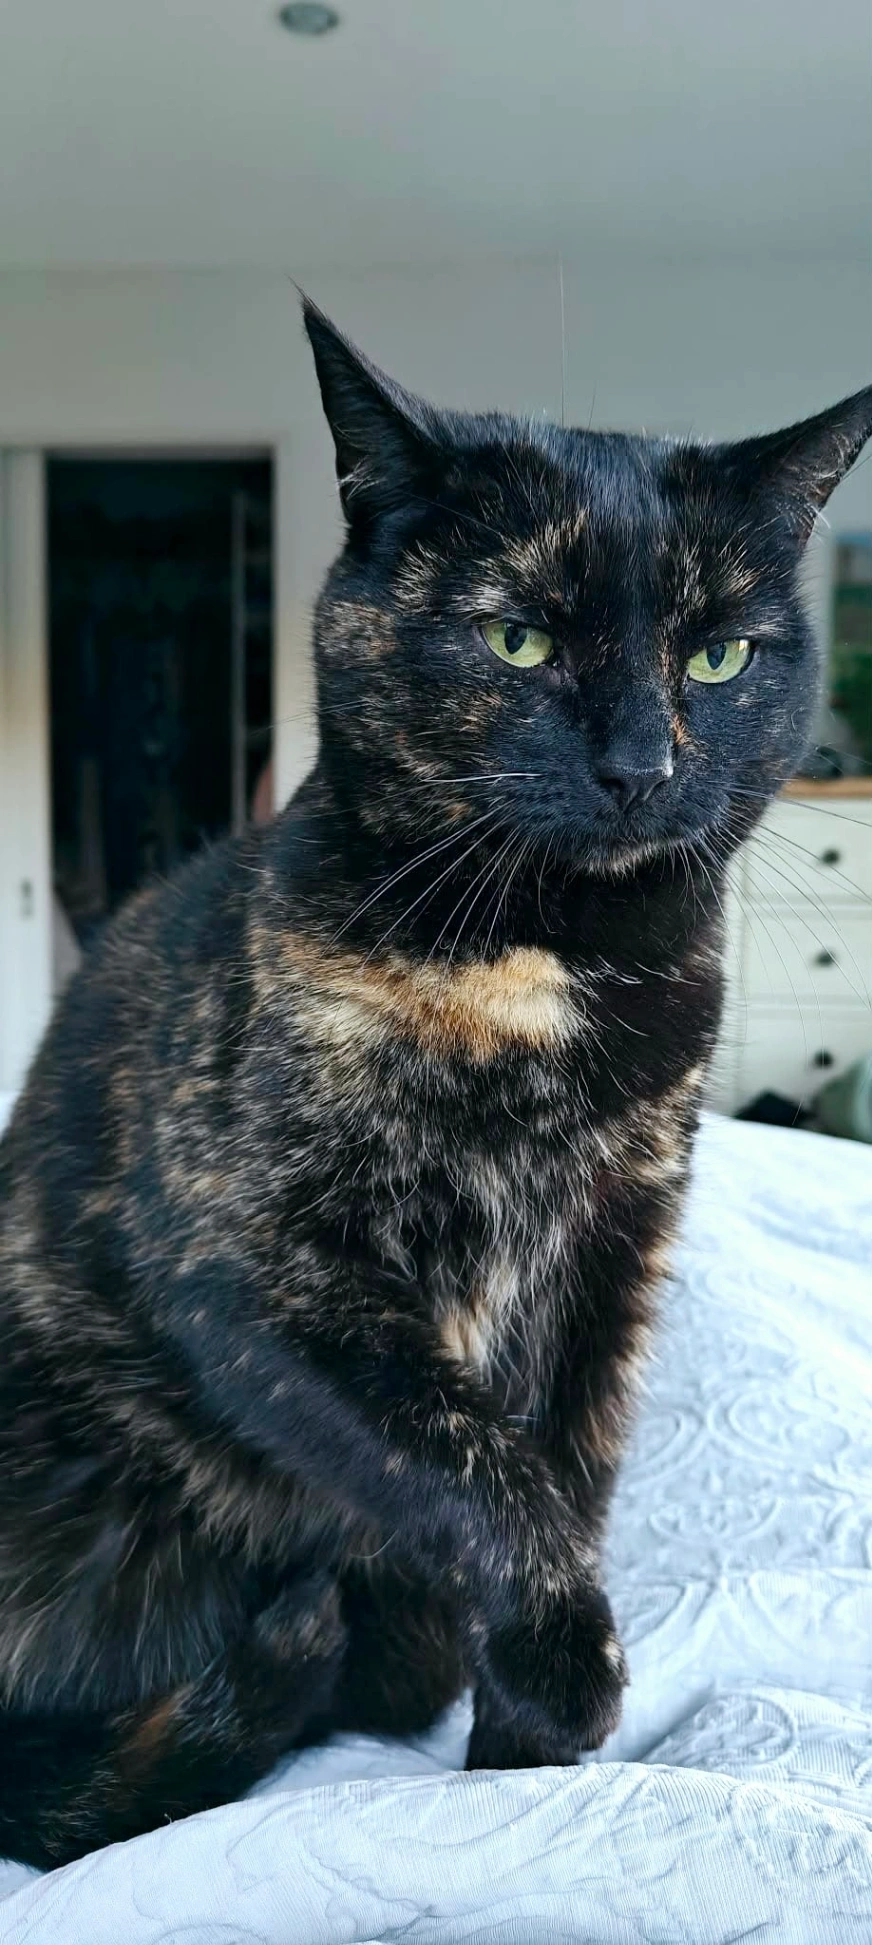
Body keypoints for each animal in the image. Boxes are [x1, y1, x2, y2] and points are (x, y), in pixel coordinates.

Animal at [0, 298, 869, 1868]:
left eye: (718, 656)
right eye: (515, 637)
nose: (639, 764)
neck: (549, 965)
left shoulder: (612, 1248)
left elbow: (567, 1468)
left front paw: (520, 1758)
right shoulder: (256, 1276)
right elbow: (473, 1469)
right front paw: (560, 1681)